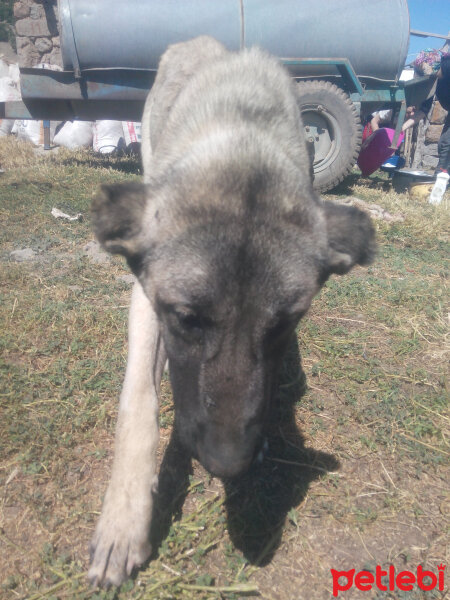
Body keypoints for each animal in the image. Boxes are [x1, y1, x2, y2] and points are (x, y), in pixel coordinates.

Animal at [88, 36, 376, 584]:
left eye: (284, 324)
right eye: (186, 319)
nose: (226, 464)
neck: (243, 139)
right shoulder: (147, 303)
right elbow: (138, 403)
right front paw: (122, 524)